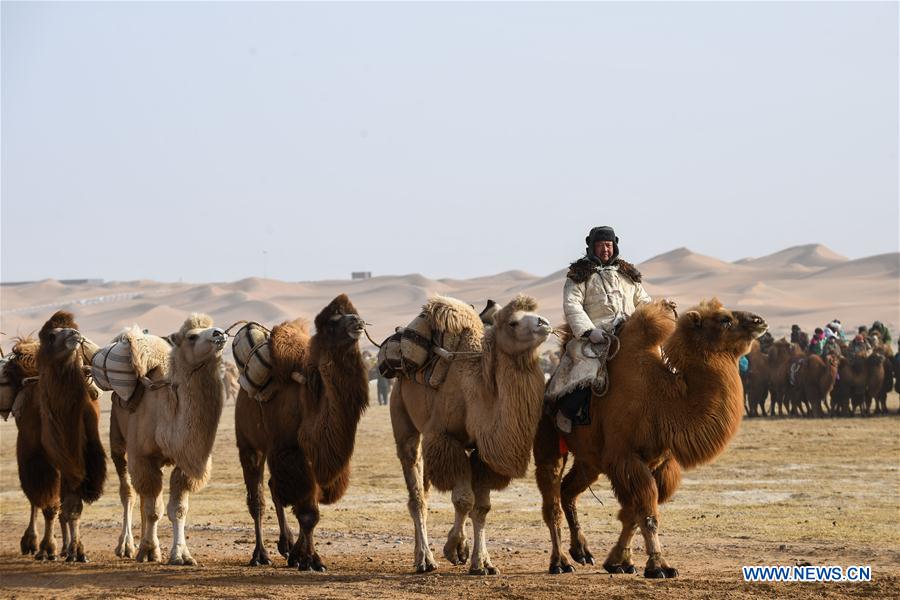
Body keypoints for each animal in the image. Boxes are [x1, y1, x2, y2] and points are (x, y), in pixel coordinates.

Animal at [35, 311, 107, 562]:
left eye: (74, 329)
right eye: (51, 336)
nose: (75, 334)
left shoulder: (82, 461)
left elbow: (73, 508)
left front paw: (78, 551)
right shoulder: (57, 460)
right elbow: (55, 507)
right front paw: (52, 549)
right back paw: (48, 549)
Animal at [109, 314, 227, 565]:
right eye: (192, 336)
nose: (219, 333)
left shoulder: (185, 462)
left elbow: (177, 509)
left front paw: (181, 554)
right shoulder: (142, 457)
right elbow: (154, 510)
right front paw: (148, 550)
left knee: (142, 498)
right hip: (118, 440)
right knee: (128, 493)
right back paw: (126, 546)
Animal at [235, 294, 369, 571]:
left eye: (356, 313)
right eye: (333, 321)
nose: (358, 322)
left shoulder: (316, 455)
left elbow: (309, 509)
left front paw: (301, 556)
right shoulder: (291, 449)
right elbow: (307, 513)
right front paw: (309, 559)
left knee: (274, 487)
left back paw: (285, 545)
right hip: (250, 443)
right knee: (257, 498)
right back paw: (260, 555)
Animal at [391, 295, 551, 575]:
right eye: (513, 322)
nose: (544, 323)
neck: (478, 391)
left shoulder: (482, 451)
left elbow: (482, 507)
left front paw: (482, 562)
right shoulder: (446, 438)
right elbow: (464, 500)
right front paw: (455, 549)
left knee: (424, 492)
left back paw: (421, 556)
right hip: (401, 414)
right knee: (416, 494)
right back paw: (425, 560)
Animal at [533, 299, 766, 578]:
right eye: (724, 320)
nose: (759, 321)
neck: (662, 401)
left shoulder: (660, 463)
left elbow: (633, 513)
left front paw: (620, 562)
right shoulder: (626, 459)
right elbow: (646, 512)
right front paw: (659, 566)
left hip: (590, 460)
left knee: (568, 490)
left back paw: (582, 551)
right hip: (549, 442)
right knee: (552, 499)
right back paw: (559, 563)